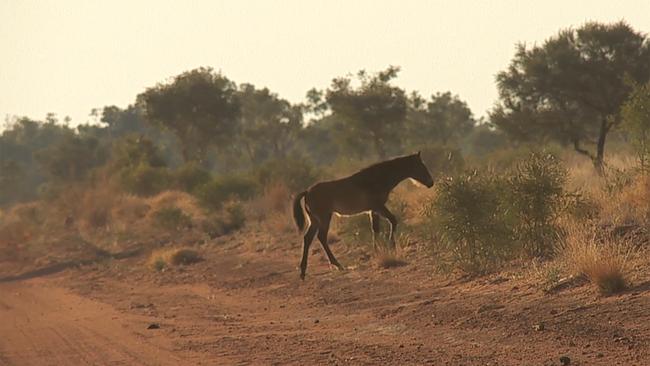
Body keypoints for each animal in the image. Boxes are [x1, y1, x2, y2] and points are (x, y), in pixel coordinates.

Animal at [292, 153, 432, 278]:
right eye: (421, 166)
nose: (431, 182)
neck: (377, 178)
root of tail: (307, 191)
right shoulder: (378, 207)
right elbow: (392, 221)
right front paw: (391, 247)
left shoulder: (372, 210)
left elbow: (375, 229)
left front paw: (378, 250)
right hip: (324, 218)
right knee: (321, 237)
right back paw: (337, 265)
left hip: (314, 220)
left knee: (308, 238)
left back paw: (303, 271)